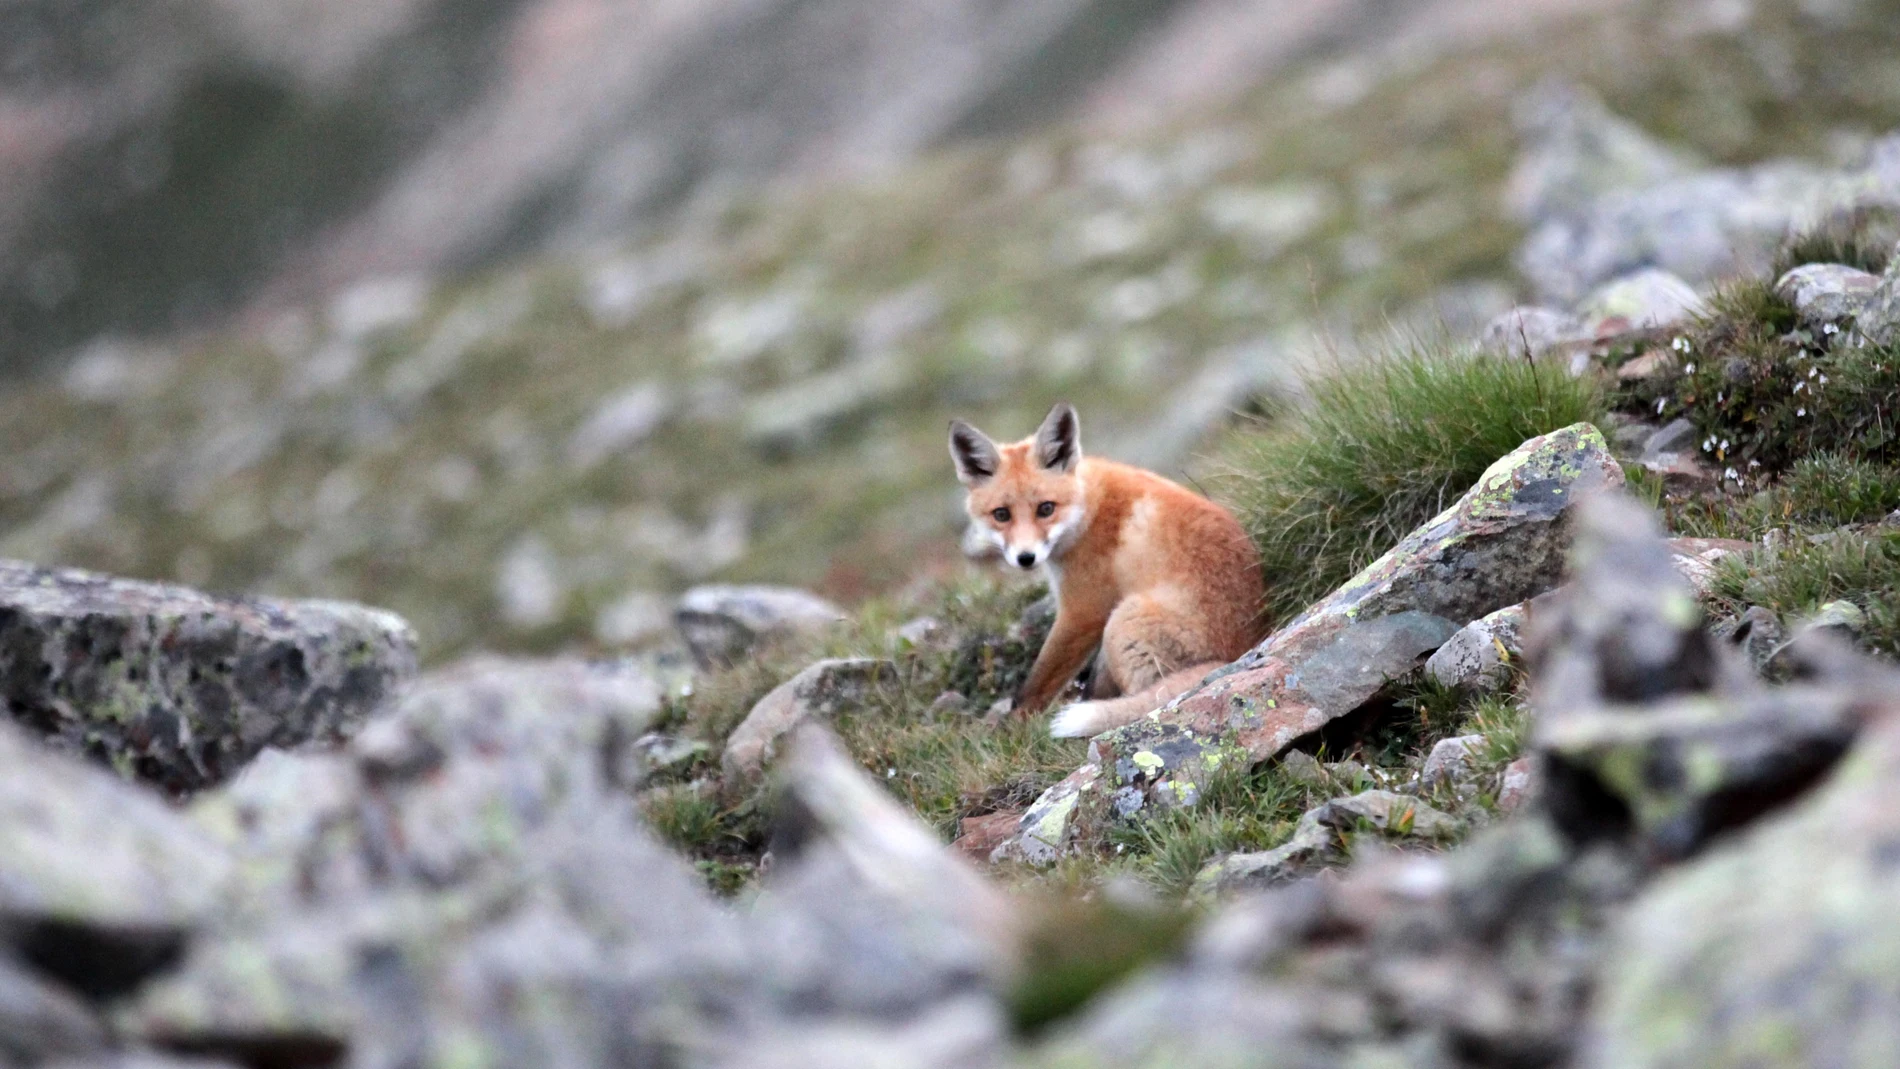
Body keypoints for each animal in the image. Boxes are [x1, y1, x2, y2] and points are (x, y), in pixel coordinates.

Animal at [949, 402, 1268, 739]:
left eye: (1046, 509)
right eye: (1001, 515)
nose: (1026, 558)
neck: (1088, 509)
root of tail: (1241, 649)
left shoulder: (1083, 611)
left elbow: (1036, 684)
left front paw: (1013, 727)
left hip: (1123, 621)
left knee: (1143, 695)